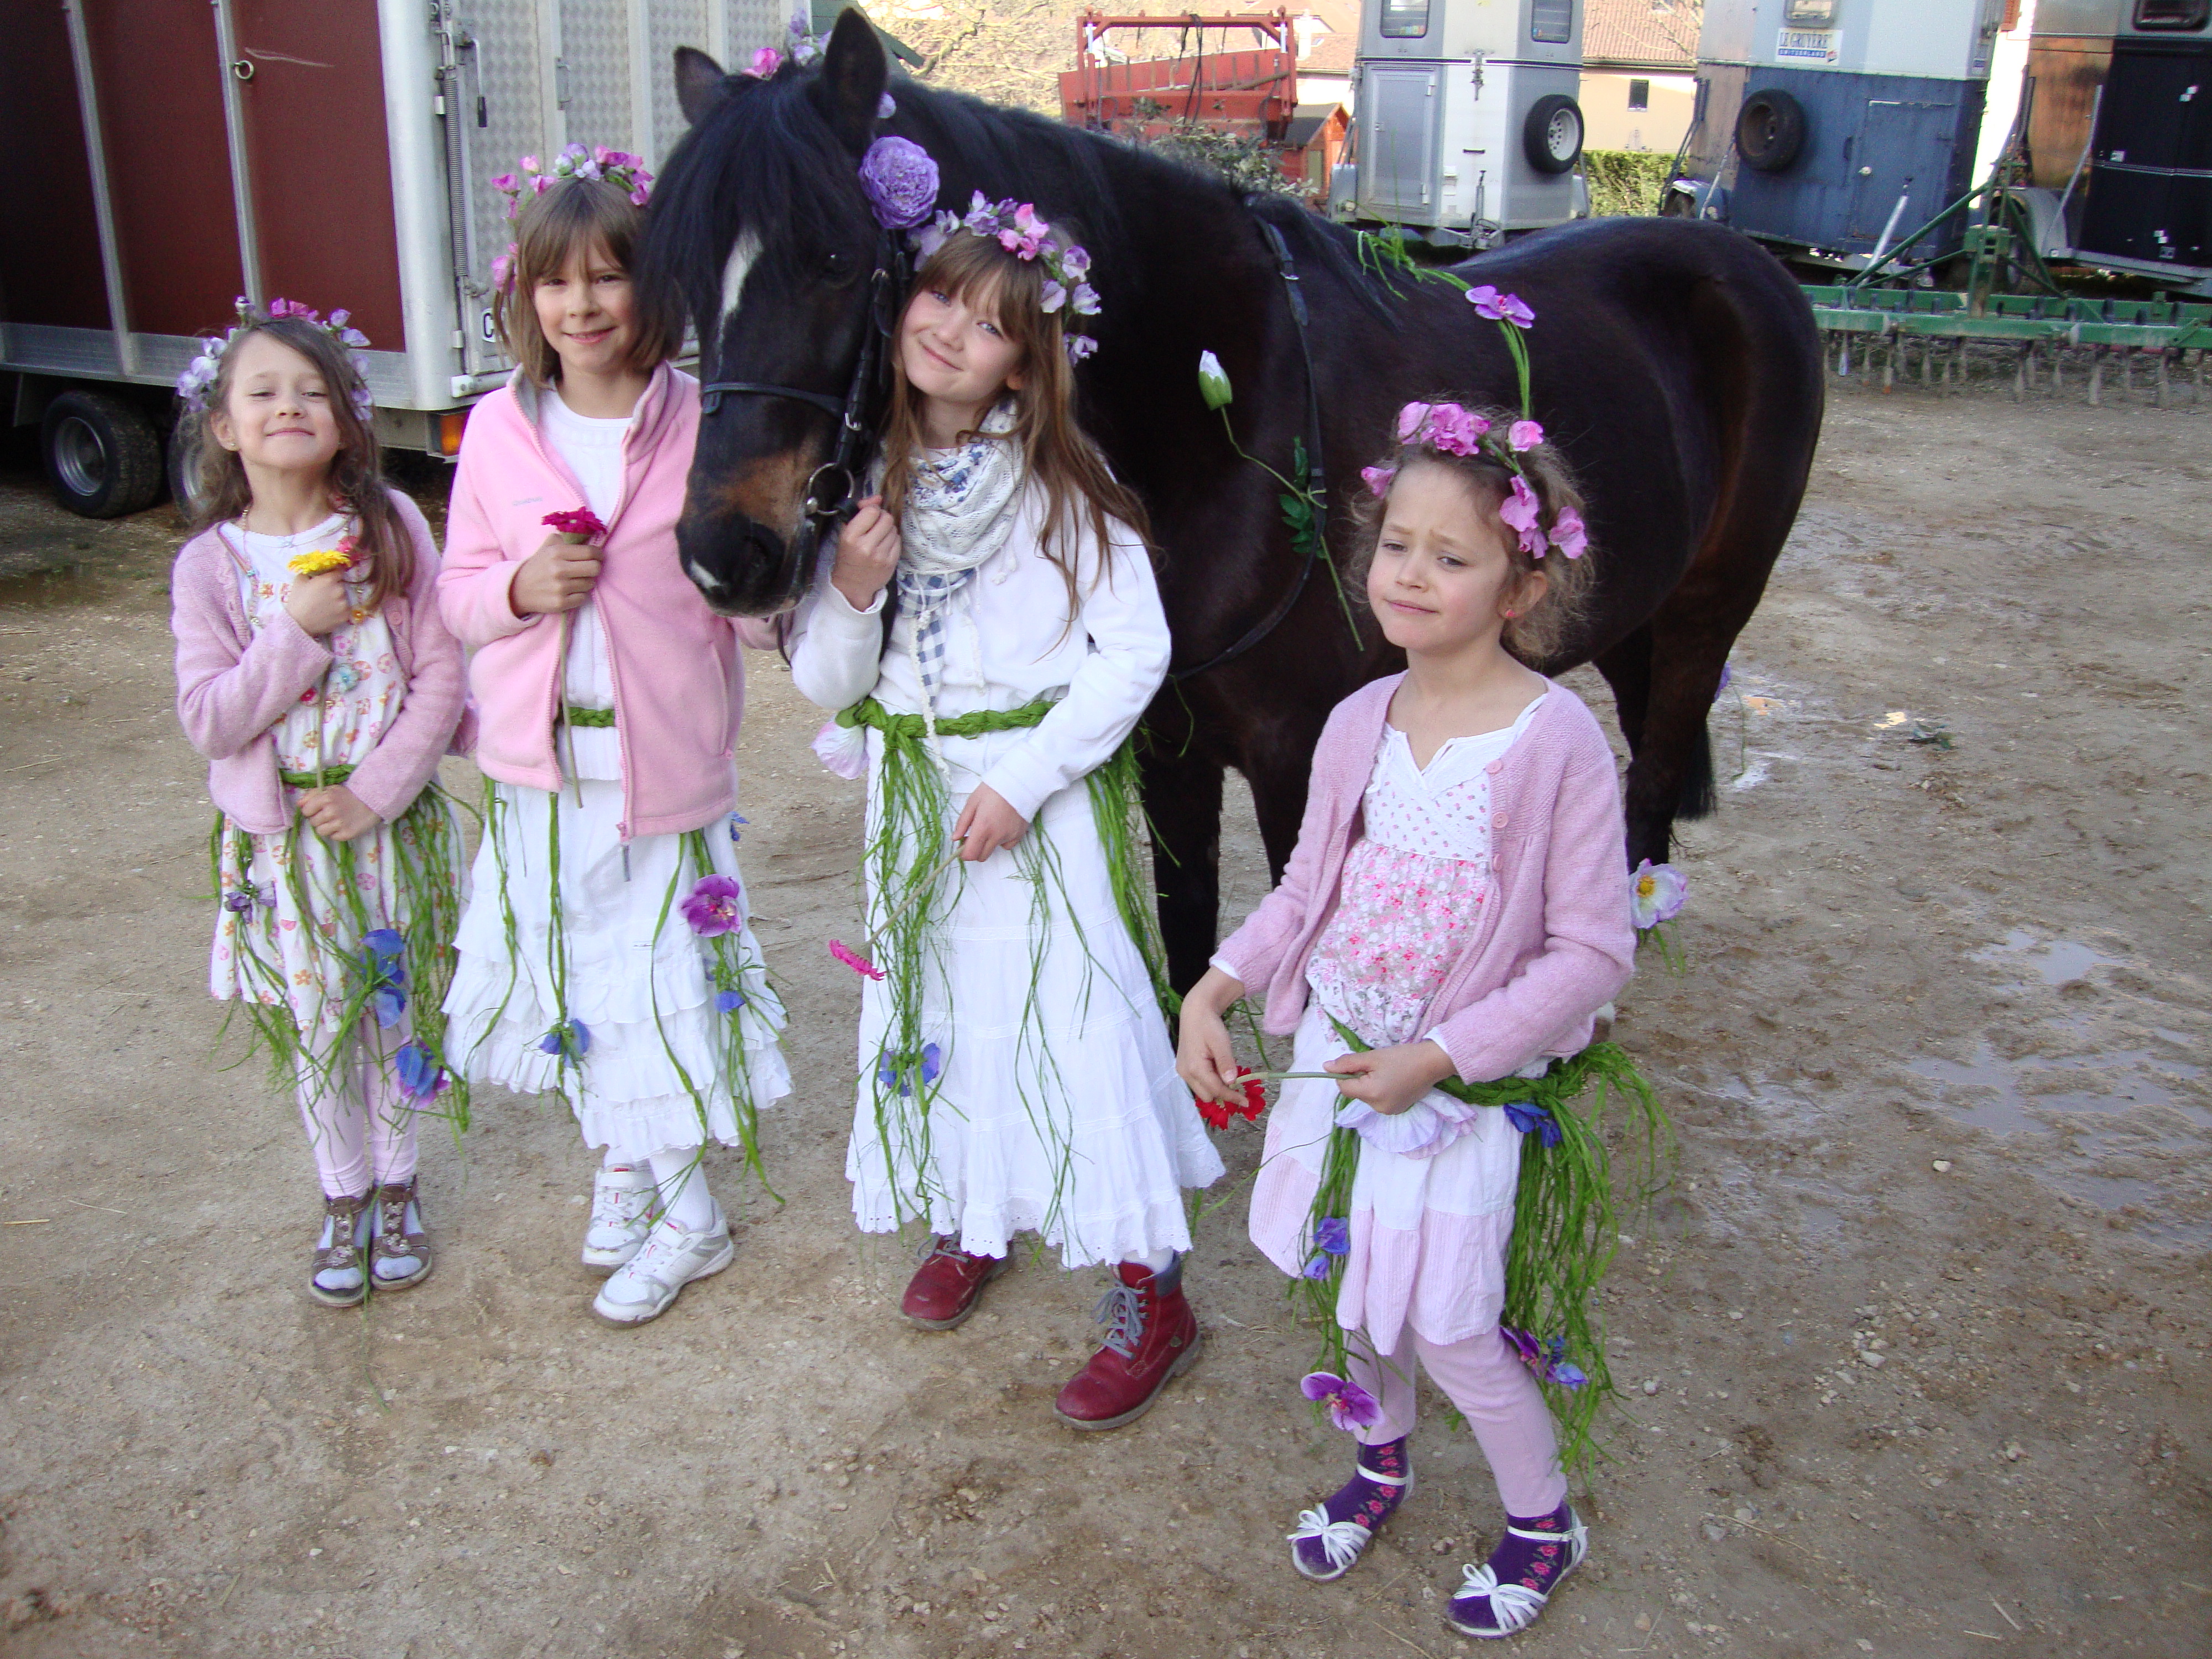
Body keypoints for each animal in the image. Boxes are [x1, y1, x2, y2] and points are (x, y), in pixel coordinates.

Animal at [641, 9, 1814, 987]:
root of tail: (1742, 263)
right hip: (1633, 611)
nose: (722, 555)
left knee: (1655, 772)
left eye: (837, 258)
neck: (1219, 417)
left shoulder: (1304, 755)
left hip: (1710, 609)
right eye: (687, 274)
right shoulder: (1171, 743)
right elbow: (1189, 938)